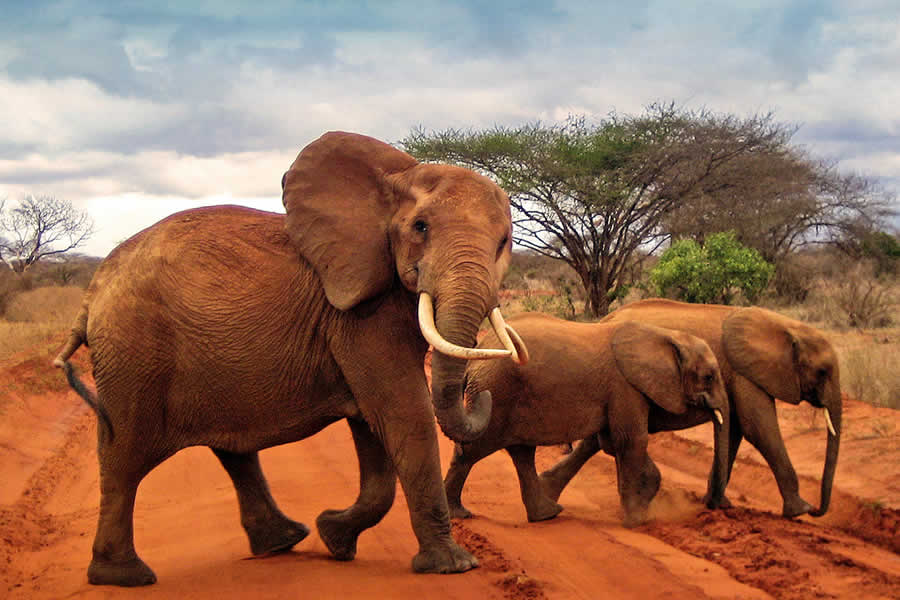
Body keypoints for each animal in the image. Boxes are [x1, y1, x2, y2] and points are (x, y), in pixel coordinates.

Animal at [52, 131, 528, 584]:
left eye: (504, 242)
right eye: (421, 228)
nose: (482, 396)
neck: (395, 179)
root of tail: (92, 294)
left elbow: (374, 427)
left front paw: (334, 538)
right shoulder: (358, 314)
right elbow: (402, 413)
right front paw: (454, 566)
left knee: (230, 449)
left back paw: (285, 540)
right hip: (133, 353)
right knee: (123, 458)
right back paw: (125, 576)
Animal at [442, 312, 732, 528]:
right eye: (708, 377)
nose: (714, 508)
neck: (667, 335)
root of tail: (478, 352)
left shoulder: (621, 392)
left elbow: (611, 442)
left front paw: (642, 503)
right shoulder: (625, 386)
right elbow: (630, 441)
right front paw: (636, 522)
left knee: (521, 454)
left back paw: (547, 514)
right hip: (496, 392)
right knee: (474, 451)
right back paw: (458, 514)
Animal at [540, 300, 844, 520]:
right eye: (822, 371)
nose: (818, 511)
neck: (786, 326)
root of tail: (603, 321)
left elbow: (735, 429)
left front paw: (720, 504)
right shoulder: (744, 372)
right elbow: (758, 428)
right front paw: (799, 511)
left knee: (599, 438)